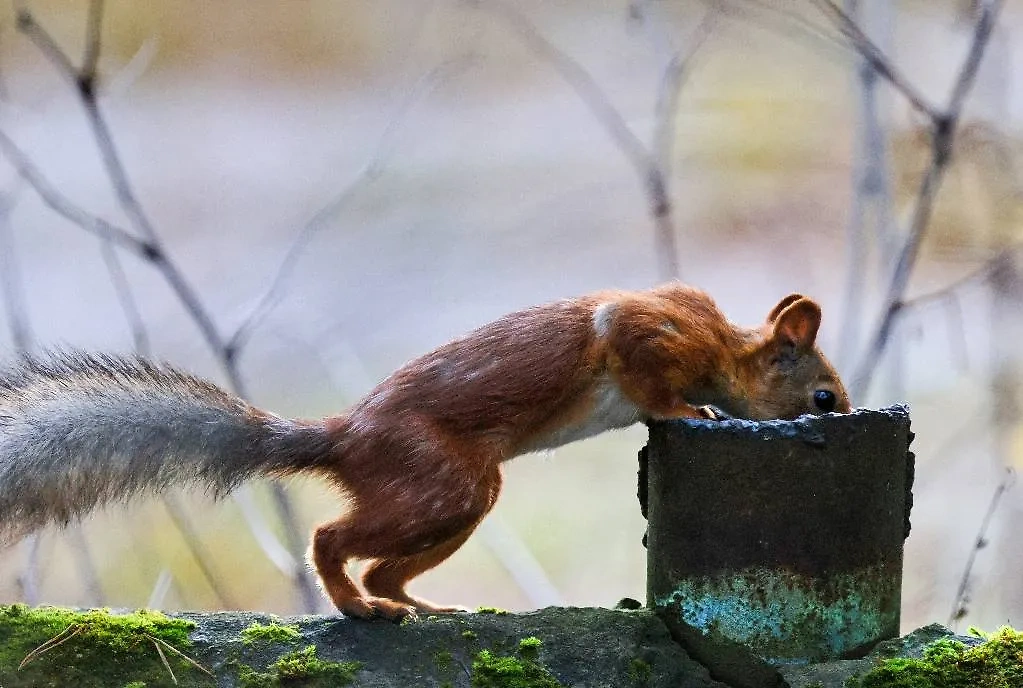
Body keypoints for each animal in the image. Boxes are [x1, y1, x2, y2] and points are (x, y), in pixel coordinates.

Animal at [0, 278, 847, 617]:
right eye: (823, 398)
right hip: (439, 483)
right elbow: (646, 375)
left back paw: (420, 604)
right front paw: (692, 409)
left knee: (383, 565)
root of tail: (345, 438)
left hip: (456, 500)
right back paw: (356, 606)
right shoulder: (647, 330)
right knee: (330, 539)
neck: (718, 346)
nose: (839, 413)